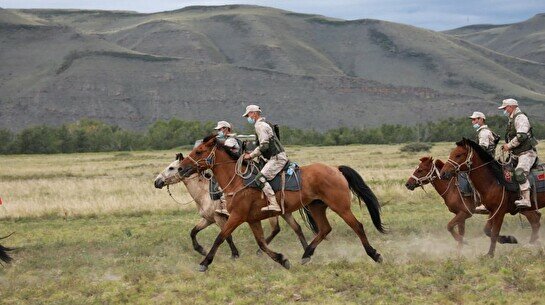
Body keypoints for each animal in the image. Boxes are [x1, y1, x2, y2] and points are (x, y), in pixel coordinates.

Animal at [153, 152, 314, 256]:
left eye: (172, 168)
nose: (157, 182)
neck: (204, 192)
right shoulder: (208, 219)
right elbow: (193, 232)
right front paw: (201, 250)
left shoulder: (220, 218)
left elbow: (226, 236)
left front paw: (235, 254)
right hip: (284, 212)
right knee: (296, 228)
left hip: (273, 213)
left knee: (277, 229)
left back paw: (261, 251)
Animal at [176, 135, 384, 270]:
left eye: (199, 151)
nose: (180, 168)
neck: (238, 180)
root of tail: (335, 168)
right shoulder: (252, 220)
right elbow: (261, 243)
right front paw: (282, 260)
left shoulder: (236, 217)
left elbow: (220, 237)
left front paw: (204, 263)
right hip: (316, 206)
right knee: (325, 229)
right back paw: (306, 254)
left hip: (340, 206)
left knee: (357, 226)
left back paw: (374, 254)